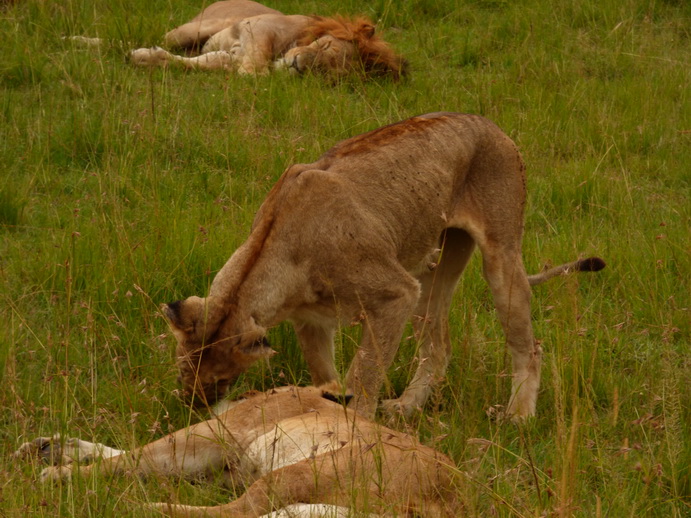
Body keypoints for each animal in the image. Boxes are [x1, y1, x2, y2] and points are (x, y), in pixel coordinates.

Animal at [14, 388, 460, 516]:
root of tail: (454, 498)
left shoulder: (216, 436)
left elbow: (132, 458)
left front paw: (58, 473)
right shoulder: (224, 462)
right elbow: (124, 455)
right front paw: (47, 449)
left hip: (301, 472)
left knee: (229, 513)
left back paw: (139, 506)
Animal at [127, 0, 408, 79]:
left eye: (330, 72)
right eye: (326, 44)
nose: (298, 65)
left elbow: (200, 62)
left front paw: (146, 58)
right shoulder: (257, 26)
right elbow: (258, 63)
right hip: (192, 29)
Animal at [162, 111, 604, 420]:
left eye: (220, 380)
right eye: (182, 370)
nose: (192, 407)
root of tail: (489, 122)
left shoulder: (395, 294)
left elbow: (365, 374)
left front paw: (352, 430)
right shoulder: (311, 320)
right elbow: (326, 374)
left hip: (499, 252)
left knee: (529, 345)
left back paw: (518, 417)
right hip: (433, 268)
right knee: (438, 347)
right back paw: (407, 407)